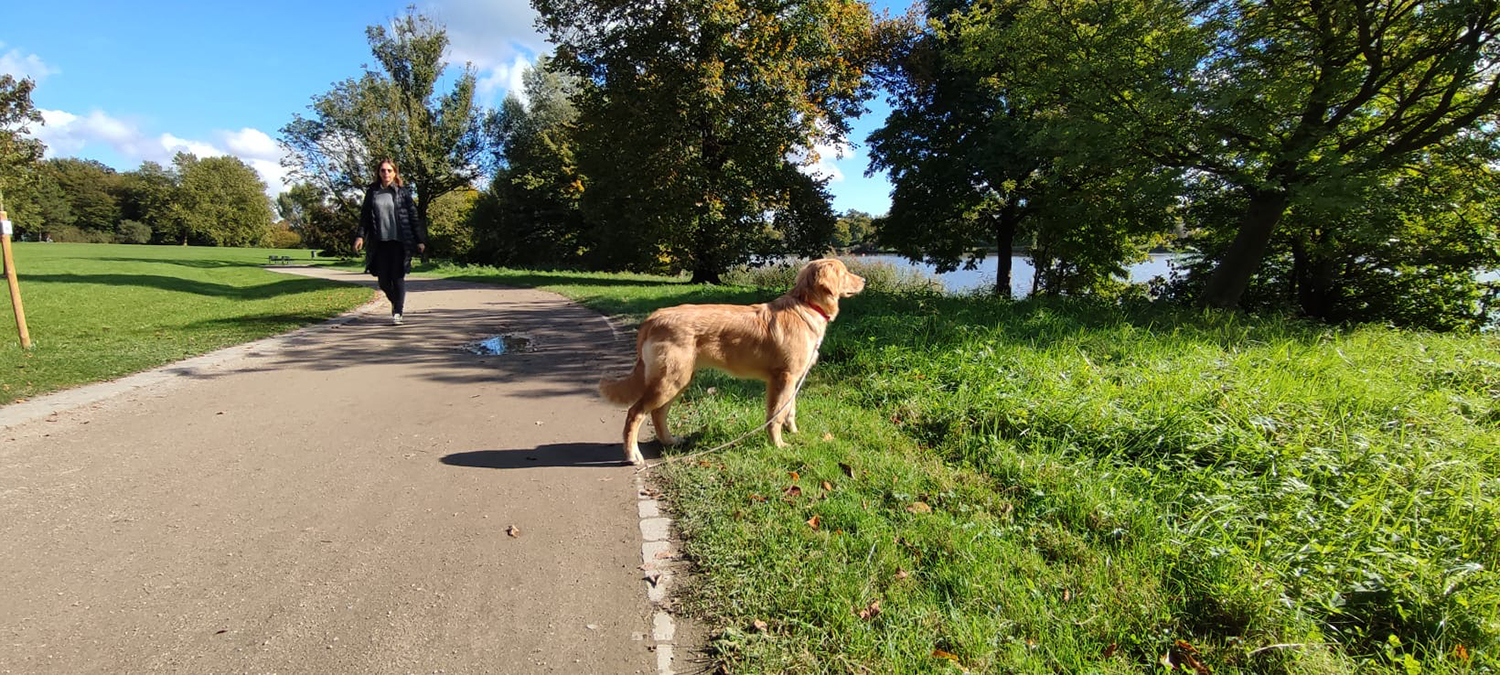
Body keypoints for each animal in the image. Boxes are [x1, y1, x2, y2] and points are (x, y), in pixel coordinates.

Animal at [600, 258, 867, 465]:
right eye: (844, 272)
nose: (864, 280)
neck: (805, 305)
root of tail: (653, 318)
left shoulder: (793, 379)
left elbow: (790, 411)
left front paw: (794, 433)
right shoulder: (783, 378)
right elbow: (776, 416)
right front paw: (778, 444)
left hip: (678, 381)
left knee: (658, 413)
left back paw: (670, 441)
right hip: (670, 380)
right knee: (635, 413)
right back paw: (633, 454)